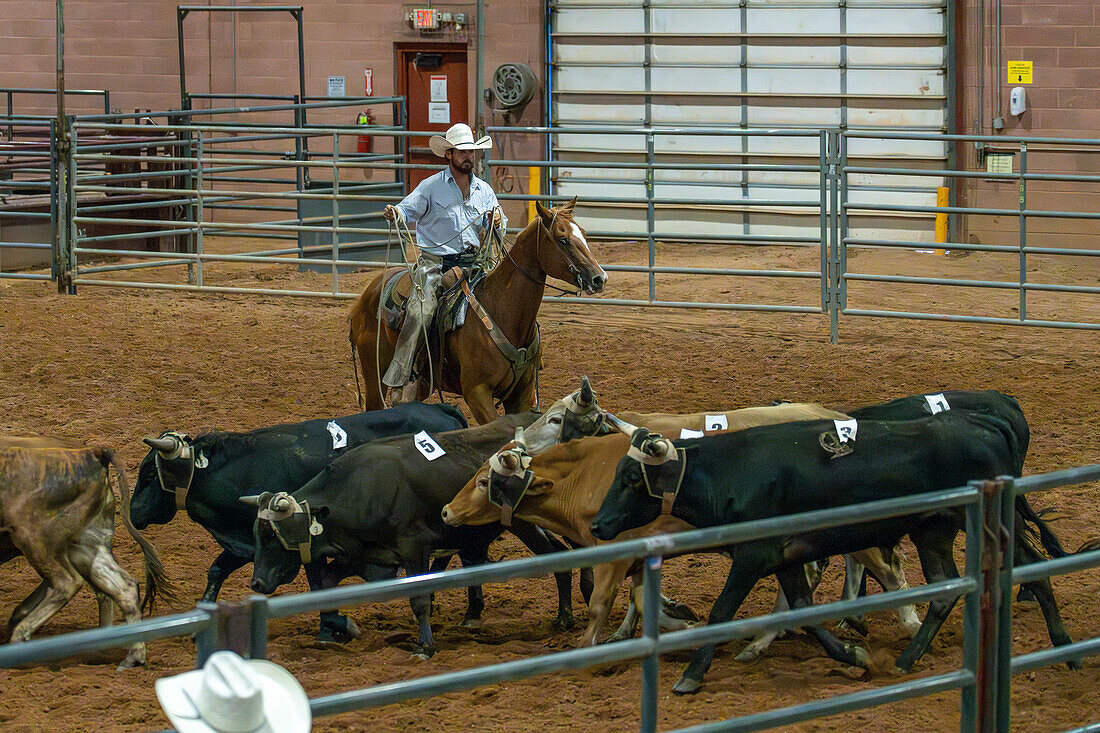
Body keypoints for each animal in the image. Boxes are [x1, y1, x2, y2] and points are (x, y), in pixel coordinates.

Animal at [349, 198, 607, 422]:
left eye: (584, 234)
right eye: (562, 239)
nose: (599, 278)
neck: (504, 314)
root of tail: (368, 292)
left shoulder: (521, 396)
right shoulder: (477, 393)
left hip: (422, 382)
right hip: (375, 374)